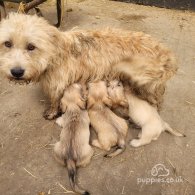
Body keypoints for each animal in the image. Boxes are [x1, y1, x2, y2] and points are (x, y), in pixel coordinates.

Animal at [0, 13, 177, 119]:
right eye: (7, 43)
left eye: (31, 46)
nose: (16, 72)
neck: (54, 53)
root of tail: (167, 53)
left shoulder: (57, 85)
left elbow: (54, 101)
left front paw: (51, 113)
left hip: (146, 83)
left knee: (156, 99)